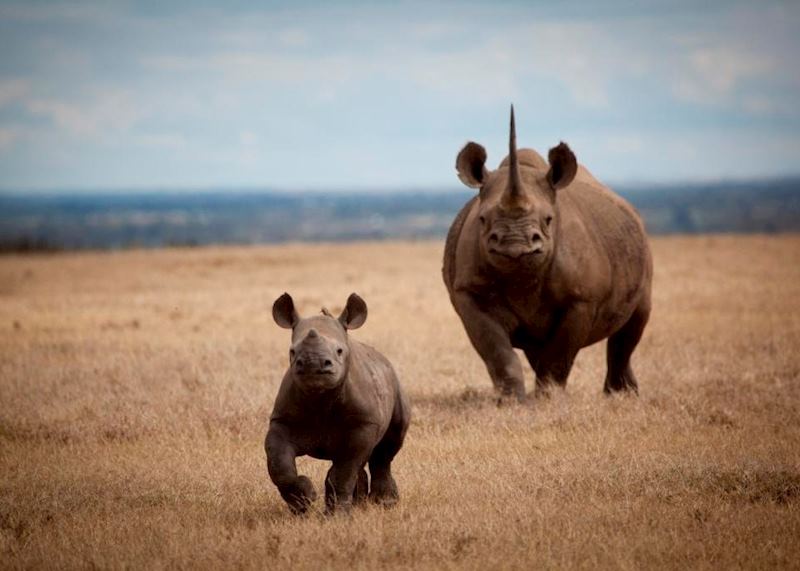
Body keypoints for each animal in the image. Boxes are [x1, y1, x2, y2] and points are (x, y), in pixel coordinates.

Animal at [266, 292, 410, 514]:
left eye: (339, 351)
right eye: (292, 351)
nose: (313, 364)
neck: (321, 396)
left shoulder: (363, 424)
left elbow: (344, 471)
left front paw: (336, 515)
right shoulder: (281, 421)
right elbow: (279, 465)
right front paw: (303, 503)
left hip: (395, 387)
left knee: (386, 448)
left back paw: (384, 503)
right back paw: (359, 503)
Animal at [443, 106, 652, 402]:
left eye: (549, 219)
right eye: (482, 220)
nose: (515, 245)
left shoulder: (581, 299)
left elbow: (561, 353)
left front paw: (548, 400)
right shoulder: (470, 293)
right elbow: (497, 351)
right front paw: (511, 401)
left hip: (641, 251)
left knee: (633, 324)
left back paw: (621, 395)